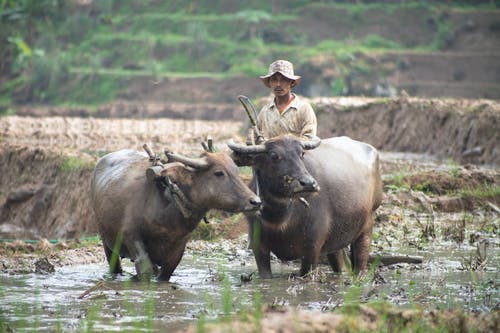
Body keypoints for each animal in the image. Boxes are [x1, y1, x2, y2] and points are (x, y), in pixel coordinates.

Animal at [91, 148, 262, 280]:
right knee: (114, 265)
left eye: (236, 171)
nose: (255, 201)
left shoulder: (178, 250)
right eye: (219, 173)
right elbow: (145, 269)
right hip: (106, 241)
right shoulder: (131, 236)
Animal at [229, 134, 384, 276]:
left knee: (361, 260)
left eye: (301, 153)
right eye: (274, 155)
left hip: (368, 226)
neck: (280, 219)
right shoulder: (259, 248)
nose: (309, 183)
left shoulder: (312, 249)